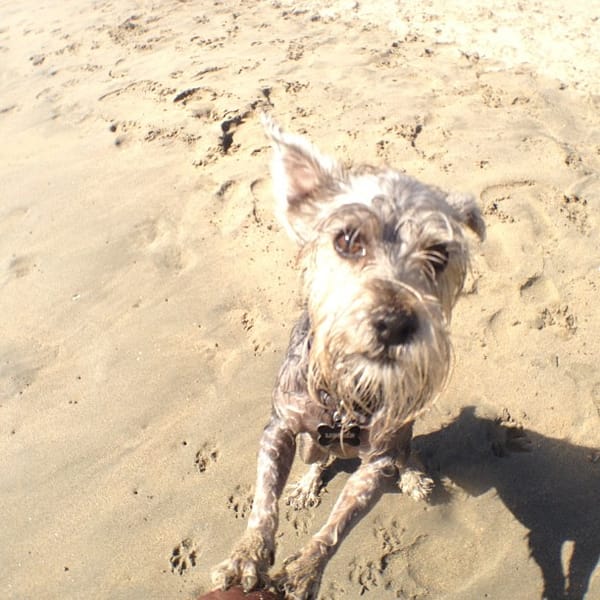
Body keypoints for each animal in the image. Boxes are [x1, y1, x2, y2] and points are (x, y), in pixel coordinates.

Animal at [213, 117, 486, 600]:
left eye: (439, 255)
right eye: (346, 239)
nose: (394, 323)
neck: (343, 399)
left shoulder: (375, 462)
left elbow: (339, 523)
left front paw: (305, 572)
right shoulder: (279, 427)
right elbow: (263, 499)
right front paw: (247, 556)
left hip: (402, 435)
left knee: (407, 454)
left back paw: (415, 478)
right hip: (309, 444)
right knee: (317, 460)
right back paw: (306, 484)